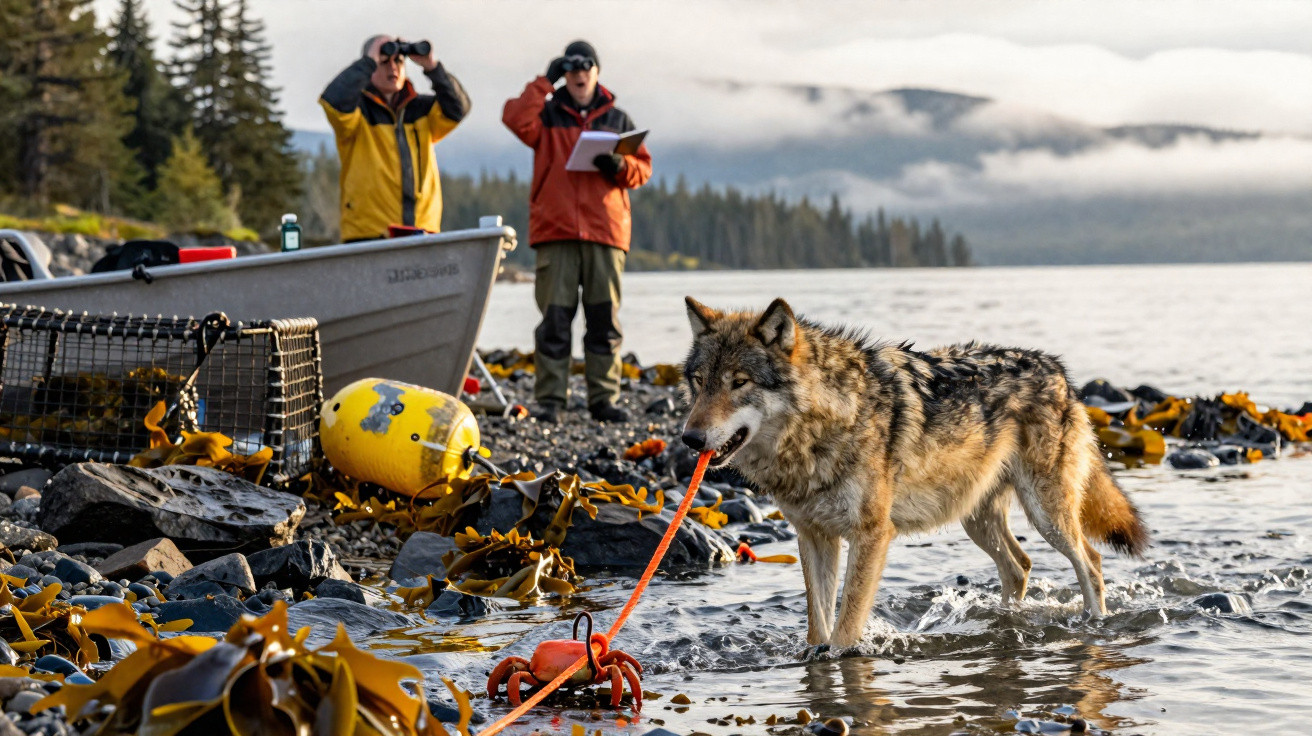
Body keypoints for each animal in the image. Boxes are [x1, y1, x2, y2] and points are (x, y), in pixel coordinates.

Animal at [679, 297, 1148, 648]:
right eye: (700, 382)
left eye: (740, 382)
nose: (690, 439)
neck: (829, 422)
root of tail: (1059, 372)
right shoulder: (814, 535)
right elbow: (818, 625)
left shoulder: (872, 534)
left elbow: (846, 628)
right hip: (976, 518)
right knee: (1020, 565)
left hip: (1046, 514)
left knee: (1090, 562)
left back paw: (1093, 625)